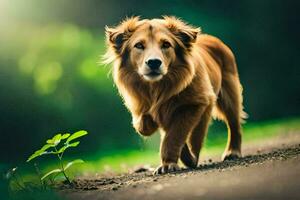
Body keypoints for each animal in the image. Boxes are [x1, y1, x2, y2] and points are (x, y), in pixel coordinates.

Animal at [103, 16, 246, 174]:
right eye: (139, 45)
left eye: (166, 44)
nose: (154, 62)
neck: (158, 87)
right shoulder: (142, 105)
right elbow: (145, 125)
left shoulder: (199, 102)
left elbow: (176, 135)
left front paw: (170, 163)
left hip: (230, 95)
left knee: (234, 125)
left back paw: (232, 152)